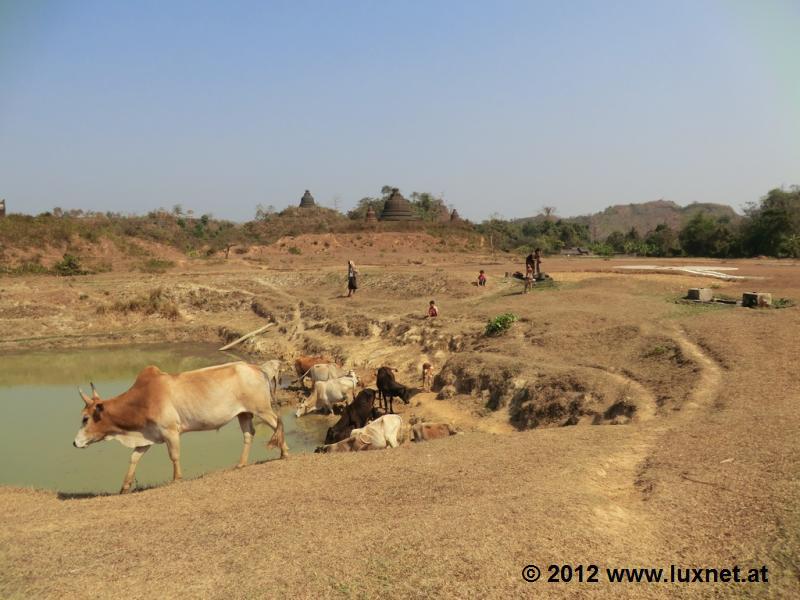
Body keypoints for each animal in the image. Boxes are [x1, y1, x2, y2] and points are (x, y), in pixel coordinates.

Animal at [72, 360, 288, 492]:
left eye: (85, 418)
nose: (75, 443)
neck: (143, 398)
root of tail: (257, 368)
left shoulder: (170, 432)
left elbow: (174, 456)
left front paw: (176, 479)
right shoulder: (146, 437)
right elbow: (133, 459)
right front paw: (124, 488)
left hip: (262, 409)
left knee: (277, 422)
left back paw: (284, 453)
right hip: (244, 414)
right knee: (249, 434)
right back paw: (241, 463)